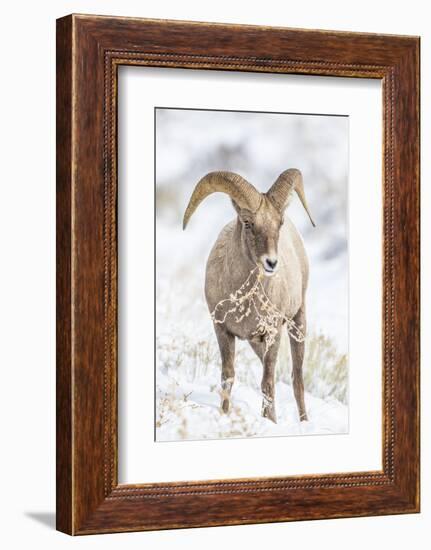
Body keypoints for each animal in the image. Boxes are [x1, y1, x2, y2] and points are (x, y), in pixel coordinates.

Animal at [184, 170, 316, 424]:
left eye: (279, 223)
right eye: (247, 222)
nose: (271, 263)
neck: (243, 300)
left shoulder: (273, 333)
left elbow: (268, 383)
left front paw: (270, 422)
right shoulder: (223, 331)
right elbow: (228, 376)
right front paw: (224, 414)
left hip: (297, 322)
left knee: (297, 379)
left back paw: (304, 422)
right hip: (257, 342)